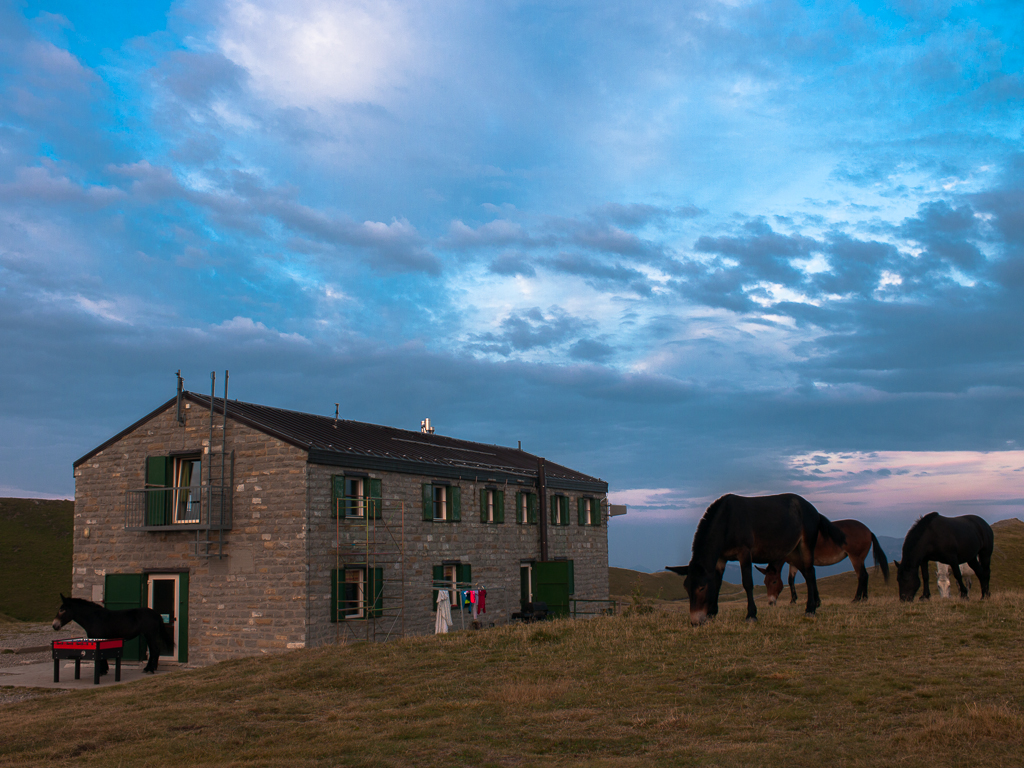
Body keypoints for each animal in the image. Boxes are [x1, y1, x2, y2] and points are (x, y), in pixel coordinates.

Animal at [667, 493, 843, 626]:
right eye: (686, 588)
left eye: (702, 588)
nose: (695, 622)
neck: (727, 522)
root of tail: (813, 509)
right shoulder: (721, 559)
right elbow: (717, 584)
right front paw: (712, 614)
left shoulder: (744, 553)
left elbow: (747, 583)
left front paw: (751, 615)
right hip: (793, 550)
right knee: (807, 573)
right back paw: (816, 604)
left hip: (806, 545)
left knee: (810, 572)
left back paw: (810, 609)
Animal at [753, 520, 888, 606]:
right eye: (765, 582)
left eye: (774, 582)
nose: (771, 602)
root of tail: (868, 531)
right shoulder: (793, 564)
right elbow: (791, 580)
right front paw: (793, 600)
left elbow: (810, 578)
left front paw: (816, 601)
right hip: (860, 558)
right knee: (865, 575)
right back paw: (864, 598)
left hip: (855, 557)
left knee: (861, 575)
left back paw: (856, 599)